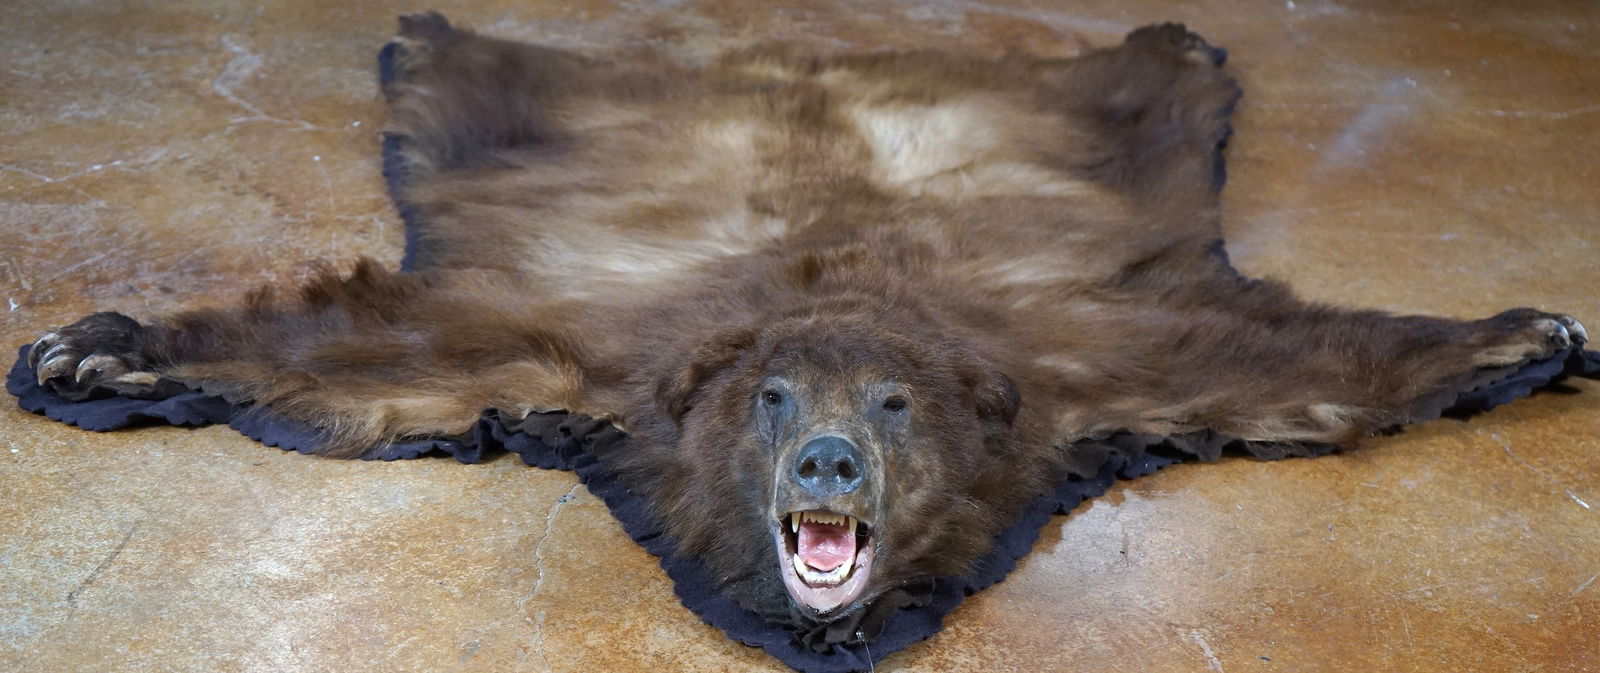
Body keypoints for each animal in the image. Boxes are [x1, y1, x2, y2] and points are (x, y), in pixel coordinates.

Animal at [22, 13, 1590, 638]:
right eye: (775, 398)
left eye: (893, 404)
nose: (829, 464)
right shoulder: (579, 345)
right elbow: (369, 350)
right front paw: (97, 348)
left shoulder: (1090, 362)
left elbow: (1290, 361)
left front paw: (1521, 332)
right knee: (478, 77)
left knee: (1148, 89)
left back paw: (1170, 42)